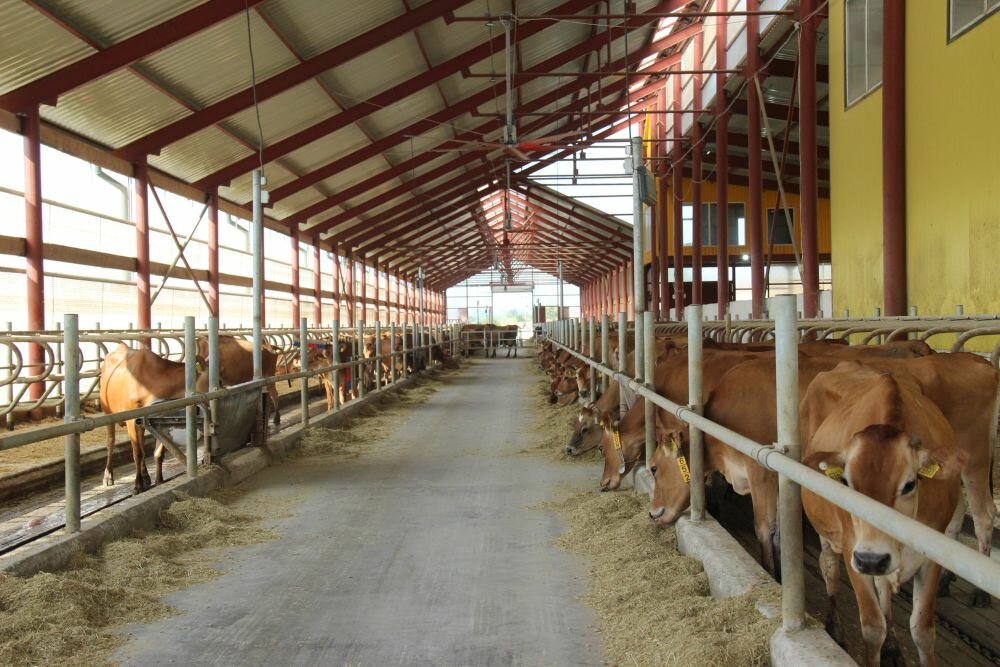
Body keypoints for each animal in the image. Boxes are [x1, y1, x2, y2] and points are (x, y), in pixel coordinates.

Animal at [99, 344, 208, 493]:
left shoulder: (159, 417)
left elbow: (157, 453)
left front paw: (159, 480)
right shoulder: (131, 420)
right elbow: (137, 453)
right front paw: (137, 485)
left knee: (142, 445)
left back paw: (146, 476)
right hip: (107, 412)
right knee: (111, 442)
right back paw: (108, 476)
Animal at [800, 363, 966, 667]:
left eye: (909, 484)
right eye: (845, 482)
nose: (871, 559)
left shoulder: (932, 555)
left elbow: (923, 631)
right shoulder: (853, 550)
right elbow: (872, 627)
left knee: (884, 588)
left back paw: (892, 647)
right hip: (828, 532)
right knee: (829, 567)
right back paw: (835, 626)